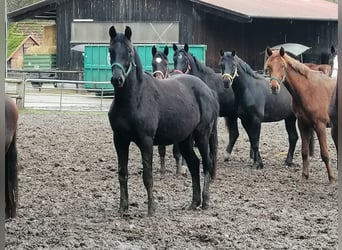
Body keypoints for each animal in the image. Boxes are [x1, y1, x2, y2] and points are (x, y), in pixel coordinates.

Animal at [107, 25, 219, 217]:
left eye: (129, 52)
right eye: (110, 51)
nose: (117, 79)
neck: (135, 98)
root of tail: (207, 90)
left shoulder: (146, 141)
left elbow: (148, 176)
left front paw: (151, 209)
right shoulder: (119, 140)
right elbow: (122, 173)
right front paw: (123, 208)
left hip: (202, 135)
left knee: (206, 163)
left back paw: (205, 201)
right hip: (185, 139)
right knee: (194, 164)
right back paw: (194, 202)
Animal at [264, 47, 336, 184]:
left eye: (282, 66)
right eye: (268, 66)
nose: (274, 88)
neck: (308, 90)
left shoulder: (320, 126)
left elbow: (325, 154)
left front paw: (331, 179)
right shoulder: (302, 124)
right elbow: (304, 152)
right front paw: (304, 176)